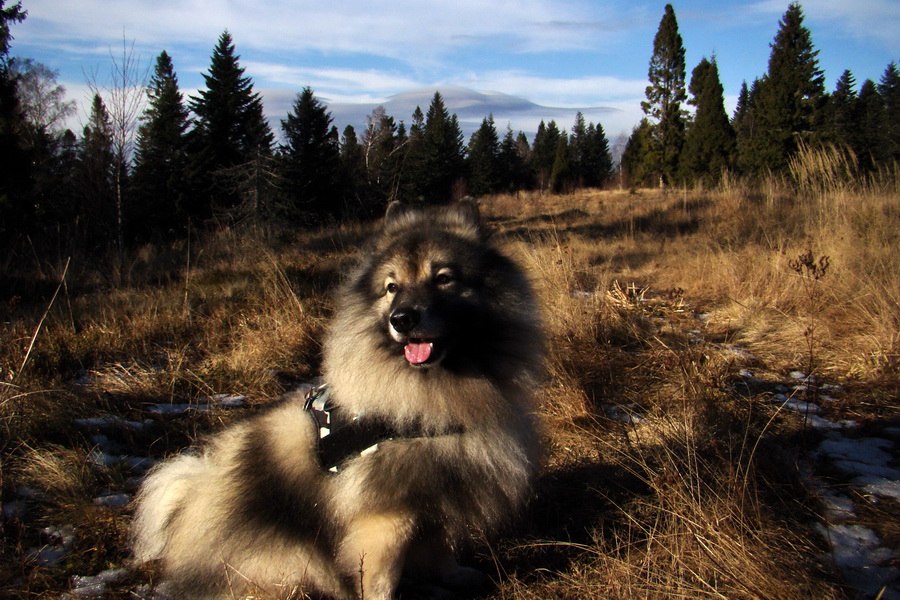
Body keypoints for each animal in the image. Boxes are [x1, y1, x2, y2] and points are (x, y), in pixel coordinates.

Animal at [130, 202, 544, 600]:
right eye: (391, 287)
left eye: (443, 278)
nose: (402, 319)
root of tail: (189, 509)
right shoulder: (388, 515)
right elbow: (380, 579)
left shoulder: (438, 491)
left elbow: (441, 547)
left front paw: (455, 576)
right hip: (290, 561)